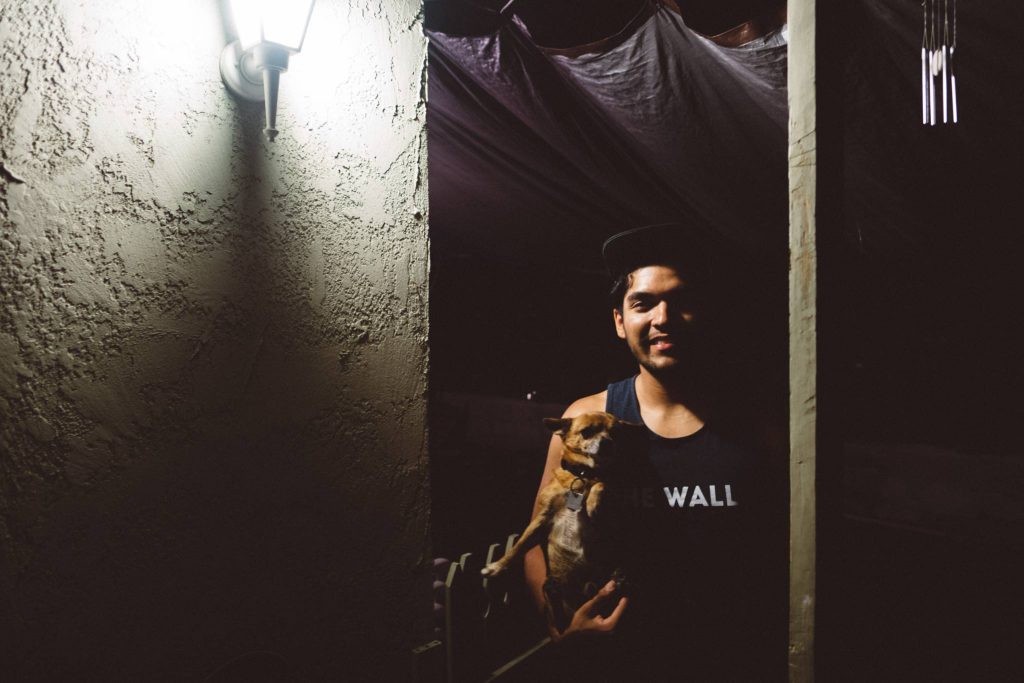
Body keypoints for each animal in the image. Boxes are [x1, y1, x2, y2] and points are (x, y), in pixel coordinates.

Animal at [481, 411, 643, 632]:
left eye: (616, 433)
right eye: (587, 432)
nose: (607, 442)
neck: (584, 476)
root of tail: (587, 591)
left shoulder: (613, 514)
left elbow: (603, 482)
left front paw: (593, 501)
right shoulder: (542, 519)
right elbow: (519, 546)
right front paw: (497, 567)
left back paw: (619, 577)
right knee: (555, 604)